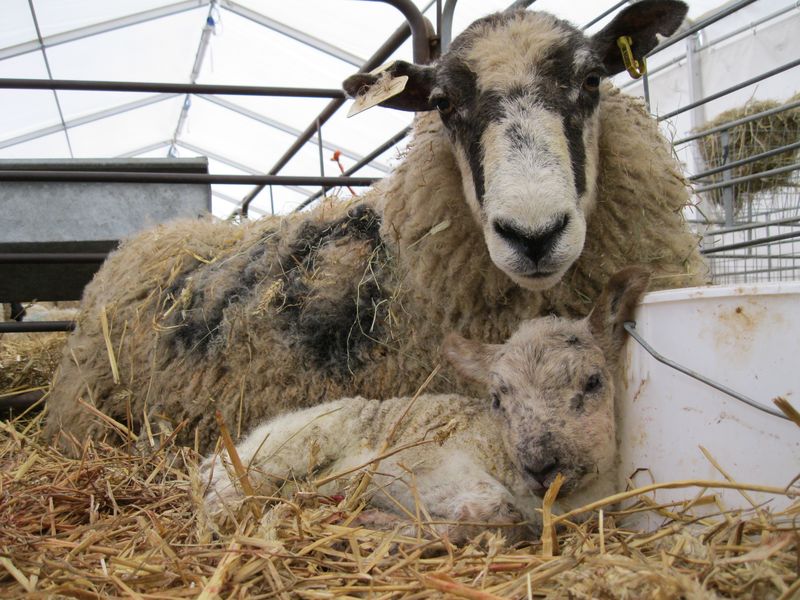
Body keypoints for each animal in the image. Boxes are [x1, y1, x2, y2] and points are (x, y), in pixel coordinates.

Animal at [203, 268, 650, 542]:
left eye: (592, 382)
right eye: (497, 399)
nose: (540, 467)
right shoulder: (420, 463)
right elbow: (492, 506)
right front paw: (387, 519)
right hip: (285, 445)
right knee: (223, 484)